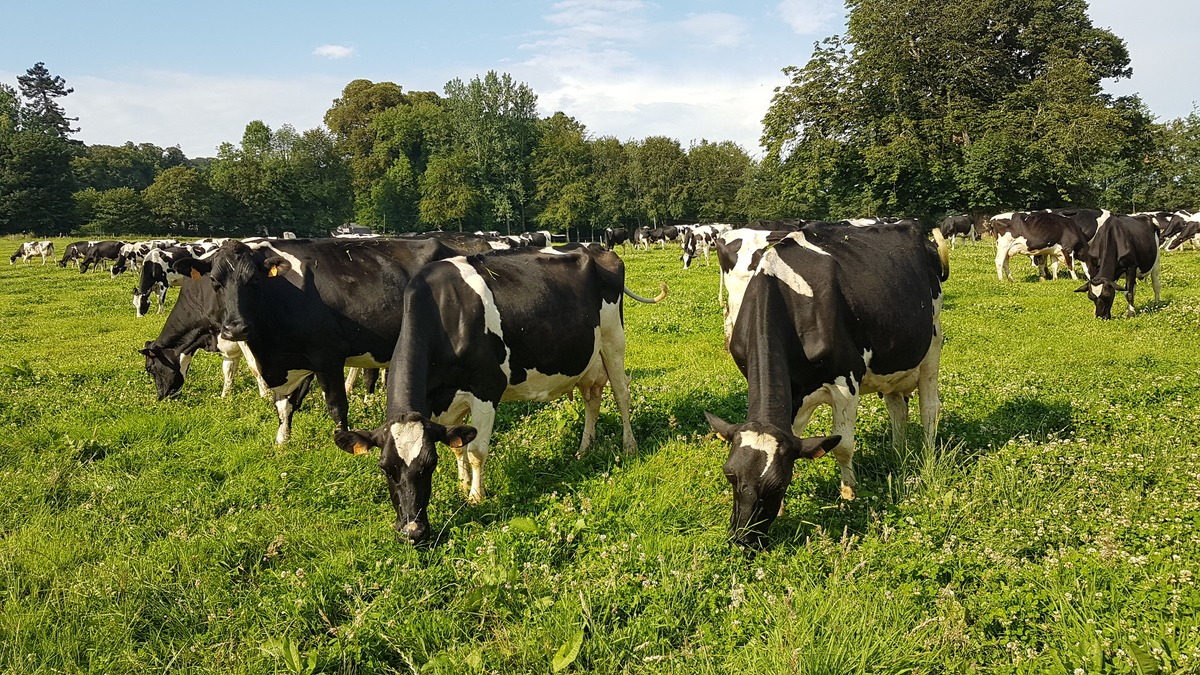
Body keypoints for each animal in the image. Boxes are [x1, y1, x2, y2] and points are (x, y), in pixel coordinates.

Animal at [177, 234, 496, 444]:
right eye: (215, 282)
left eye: (254, 280)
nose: (236, 328)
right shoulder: (293, 362)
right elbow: (285, 404)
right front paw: (283, 440)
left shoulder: (327, 356)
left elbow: (336, 404)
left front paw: (342, 438)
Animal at [331, 243, 667, 542]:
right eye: (385, 468)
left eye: (428, 465)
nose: (412, 532)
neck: (445, 314)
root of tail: (595, 248)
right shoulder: (443, 403)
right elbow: (458, 446)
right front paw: (462, 483)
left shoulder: (486, 389)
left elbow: (476, 451)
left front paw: (476, 496)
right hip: (588, 356)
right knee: (592, 399)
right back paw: (584, 448)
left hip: (613, 339)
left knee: (621, 393)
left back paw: (629, 446)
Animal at [705, 223, 950, 550]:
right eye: (729, 474)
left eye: (777, 484)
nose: (743, 539)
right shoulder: (794, 395)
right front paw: (782, 510)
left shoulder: (846, 382)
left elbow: (844, 446)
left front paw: (848, 493)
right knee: (897, 408)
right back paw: (898, 452)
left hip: (933, 341)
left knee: (929, 409)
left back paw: (927, 458)